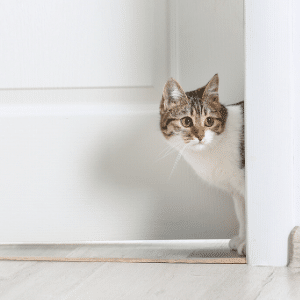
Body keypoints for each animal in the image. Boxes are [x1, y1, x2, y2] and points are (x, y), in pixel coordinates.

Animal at [159, 74, 246, 255]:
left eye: (209, 121)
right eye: (186, 121)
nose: (200, 136)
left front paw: (248, 245)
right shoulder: (237, 190)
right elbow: (242, 214)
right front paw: (242, 238)